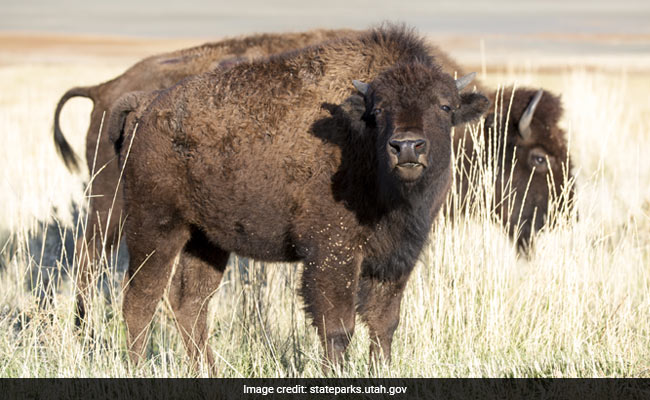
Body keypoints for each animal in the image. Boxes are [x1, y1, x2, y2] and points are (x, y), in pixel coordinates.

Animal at [107, 26, 488, 370]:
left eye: (444, 106)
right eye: (378, 110)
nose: (406, 146)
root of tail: (146, 107)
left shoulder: (396, 258)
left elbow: (384, 325)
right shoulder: (332, 256)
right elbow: (338, 327)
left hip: (205, 241)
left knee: (190, 302)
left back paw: (206, 370)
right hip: (154, 227)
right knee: (140, 299)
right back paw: (137, 368)